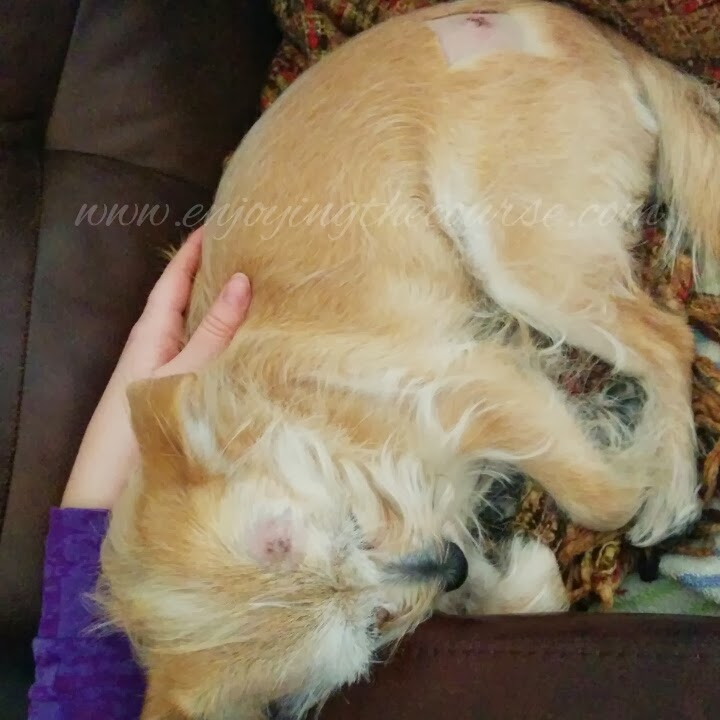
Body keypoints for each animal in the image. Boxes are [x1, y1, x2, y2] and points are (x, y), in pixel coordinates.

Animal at [98, 1, 720, 717]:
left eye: (354, 524)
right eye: (374, 625)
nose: (448, 564)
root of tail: (575, 23)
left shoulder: (477, 382)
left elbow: (599, 499)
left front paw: (626, 467)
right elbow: (511, 592)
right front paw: (524, 575)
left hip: (519, 253)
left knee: (667, 337)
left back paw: (672, 485)